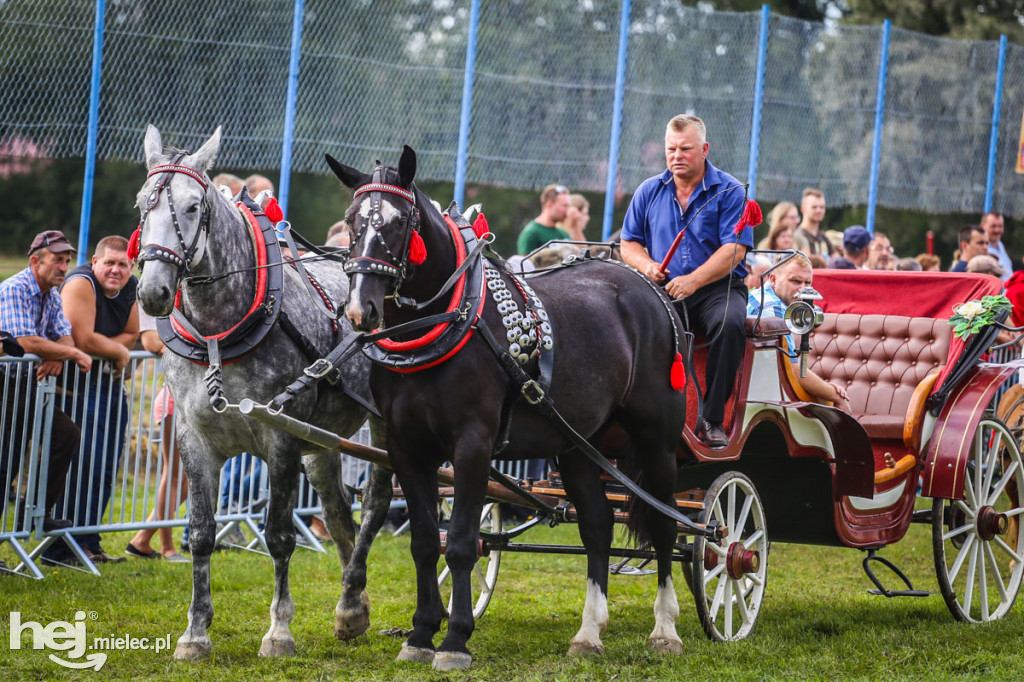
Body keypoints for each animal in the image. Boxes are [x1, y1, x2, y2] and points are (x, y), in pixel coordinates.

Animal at [136, 123, 391, 659]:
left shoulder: (281, 440)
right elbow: (201, 534)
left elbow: (278, 535)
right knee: (339, 514)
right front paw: (195, 632)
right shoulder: (194, 439)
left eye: (193, 206)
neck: (219, 333)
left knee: (376, 503)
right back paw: (352, 605)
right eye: (142, 204)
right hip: (321, 441)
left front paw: (278, 631)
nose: (152, 292)